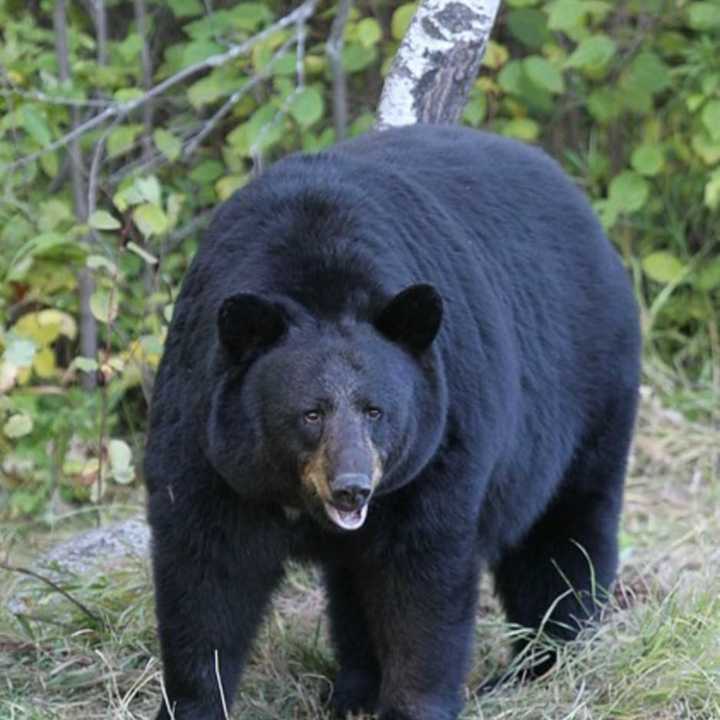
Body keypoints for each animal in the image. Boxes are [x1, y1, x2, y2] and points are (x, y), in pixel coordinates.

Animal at [145, 126, 640, 720]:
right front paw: (192, 701)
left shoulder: (440, 442)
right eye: (311, 412)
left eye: (376, 411)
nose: (352, 487)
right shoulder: (206, 436)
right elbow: (205, 572)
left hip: (587, 396)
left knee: (563, 536)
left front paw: (413, 704)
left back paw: (546, 664)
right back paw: (354, 691)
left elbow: (421, 578)